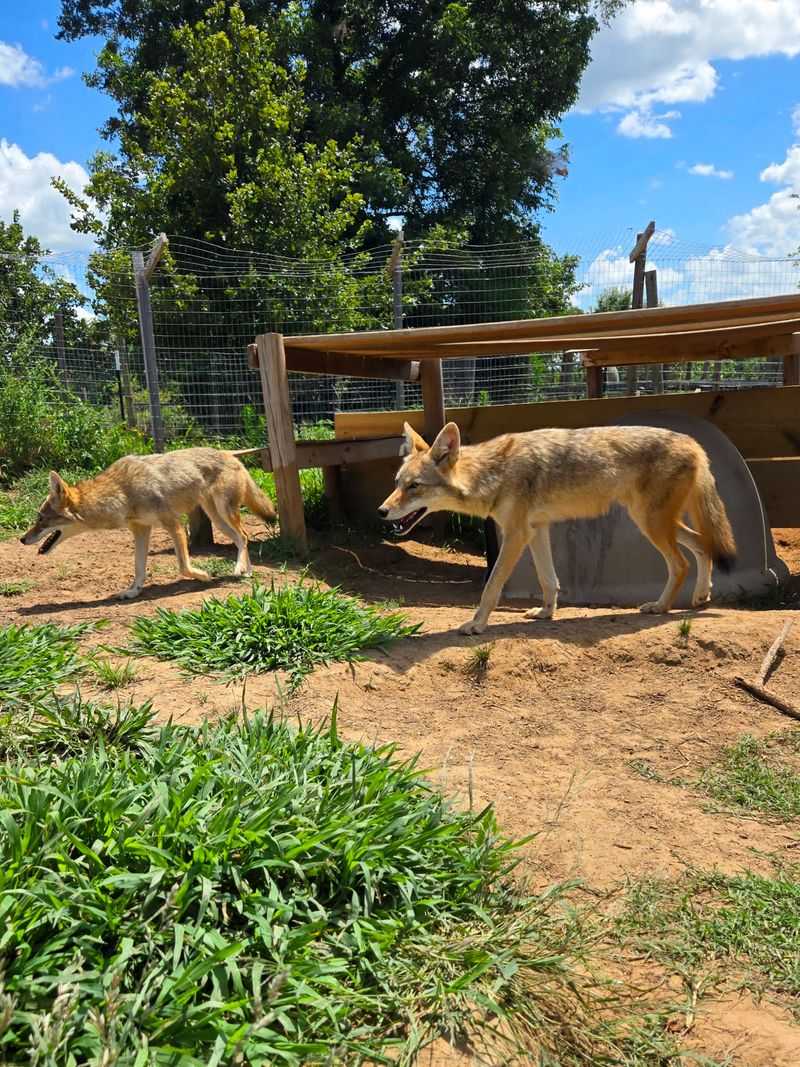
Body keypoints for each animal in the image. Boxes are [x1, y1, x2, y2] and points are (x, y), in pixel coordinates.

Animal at [20, 447, 276, 599]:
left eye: (41, 519)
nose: (22, 539)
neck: (122, 491)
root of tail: (230, 455)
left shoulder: (174, 524)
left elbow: (183, 566)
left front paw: (203, 576)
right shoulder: (141, 530)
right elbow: (138, 567)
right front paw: (133, 591)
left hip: (224, 513)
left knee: (243, 537)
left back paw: (240, 570)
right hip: (217, 519)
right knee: (242, 538)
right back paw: (246, 571)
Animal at [379, 422, 736, 635]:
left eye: (414, 486)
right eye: (397, 483)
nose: (381, 511)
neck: (493, 473)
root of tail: (692, 441)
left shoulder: (516, 535)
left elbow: (491, 587)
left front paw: (476, 624)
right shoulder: (537, 529)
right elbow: (548, 580)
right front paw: (546, 612)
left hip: (650, 524)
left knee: (681, 563)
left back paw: (660, 607)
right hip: (655, 522)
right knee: (703, 545)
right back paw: (701, 596)